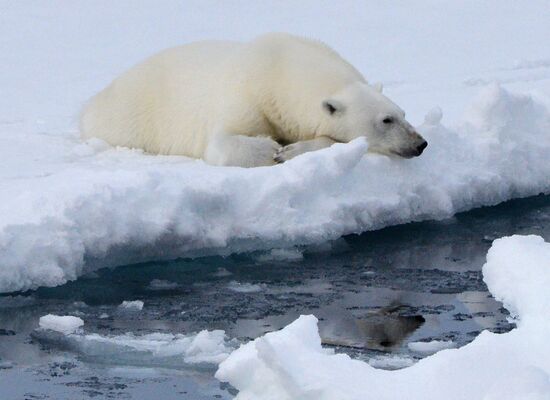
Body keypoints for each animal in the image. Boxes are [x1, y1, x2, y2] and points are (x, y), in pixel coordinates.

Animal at [81, 32, 426, 167]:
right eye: (386, 120)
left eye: (403, 113)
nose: (420, 143)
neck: (280, 69)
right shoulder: (246, 94)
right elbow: (221, 143)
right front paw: (272, 149)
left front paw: (293, 149)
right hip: (129, 118)